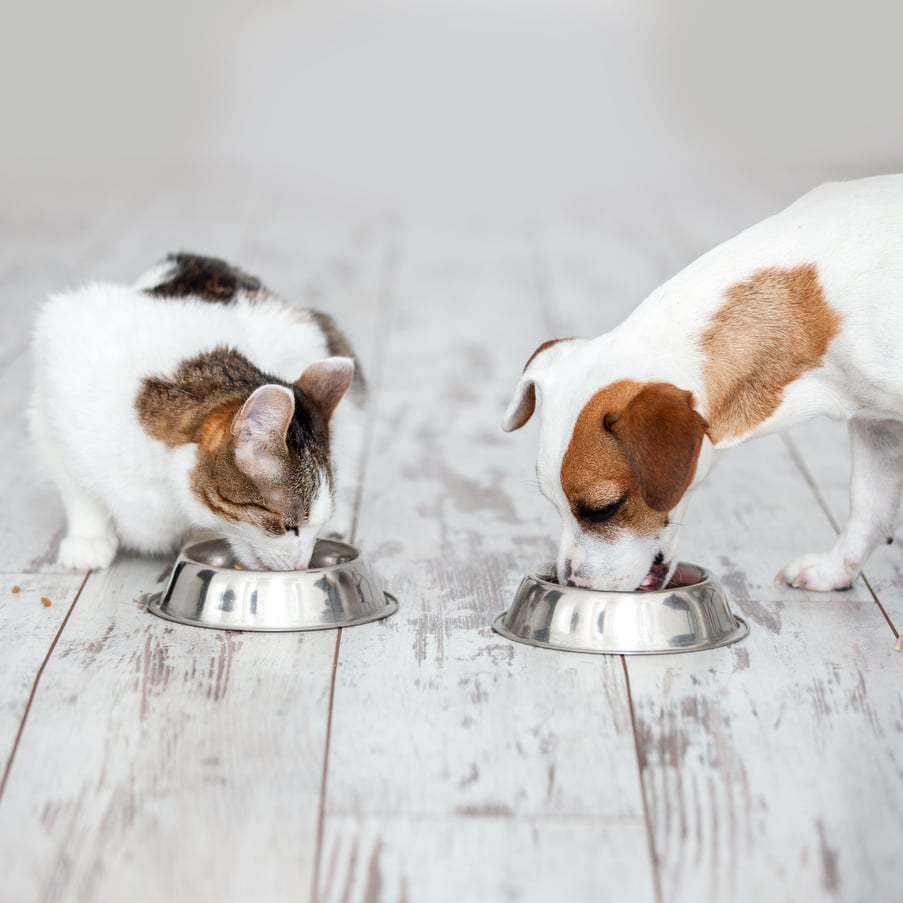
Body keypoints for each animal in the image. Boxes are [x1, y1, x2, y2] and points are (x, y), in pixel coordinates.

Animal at [30, 251, 366, 568]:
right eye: (289, 526)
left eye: (312, 528)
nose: (301, 564)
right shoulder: (52, 392)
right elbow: (76, 487)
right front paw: (88, 537)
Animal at [502, 177, 903, 652]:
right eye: (553, 504)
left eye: (604, 509)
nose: (573, 584)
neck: (817, 300)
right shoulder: (876, 424)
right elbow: (868, 504)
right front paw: (835, 568)